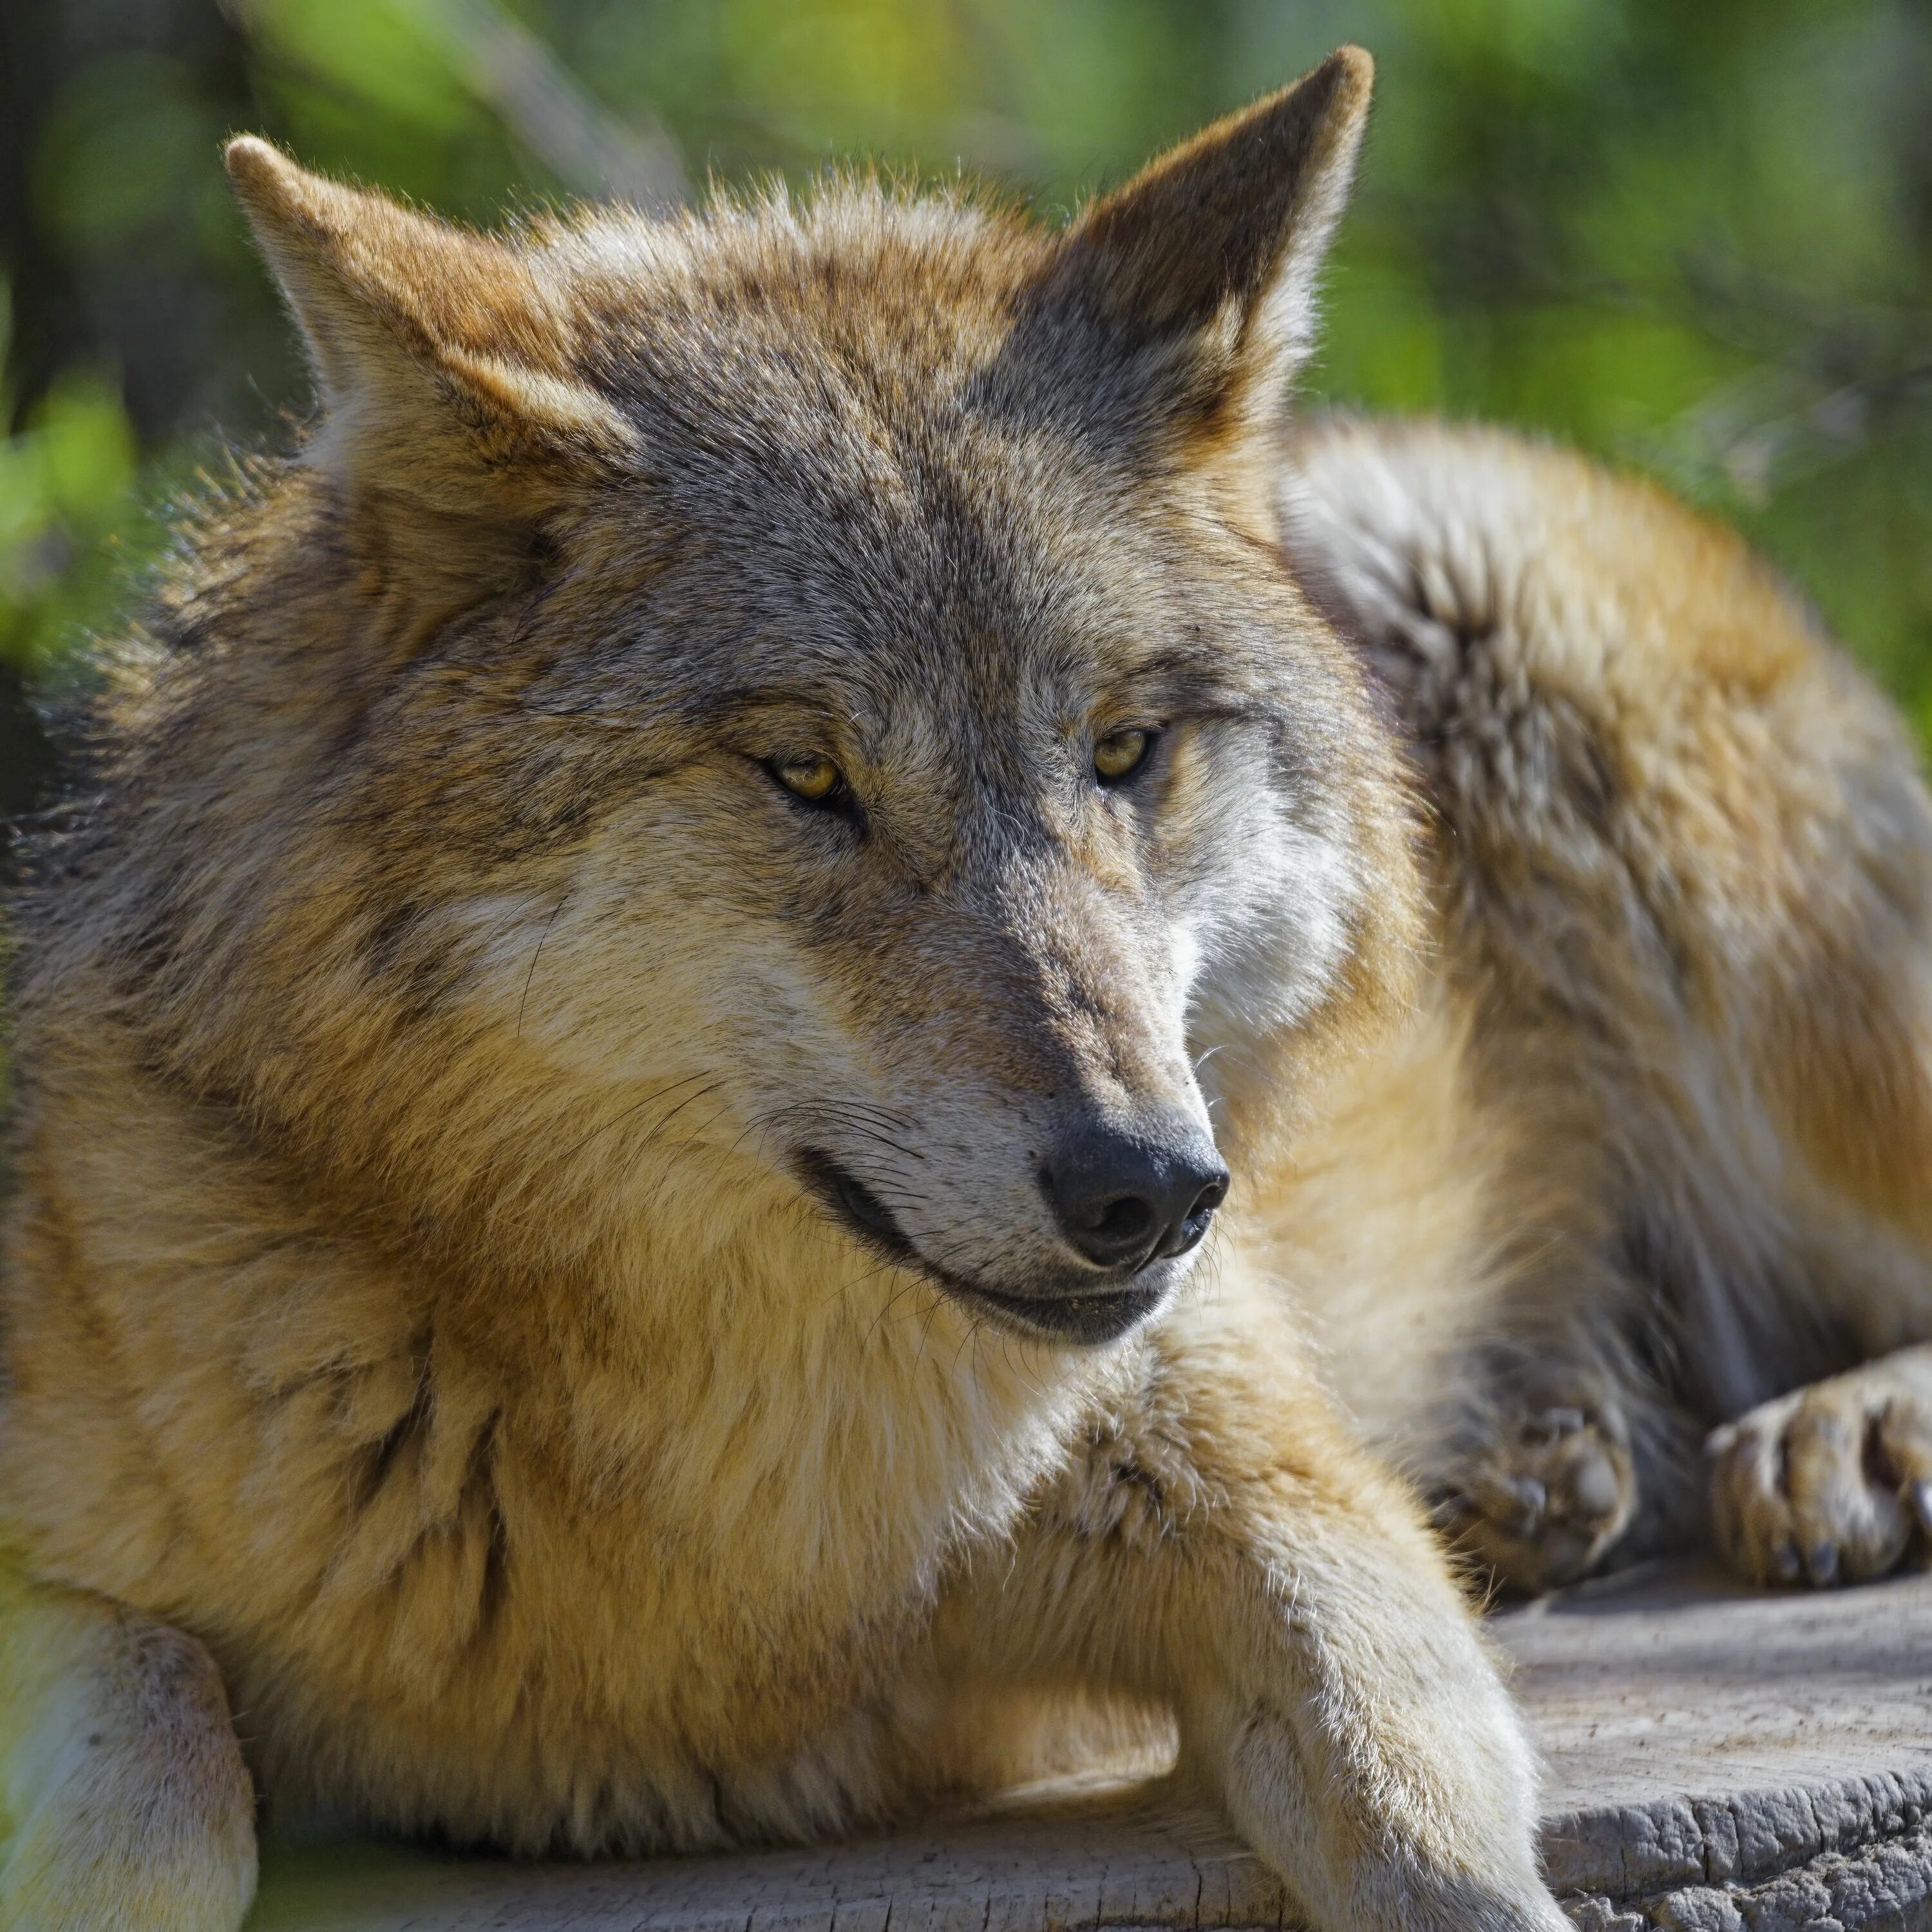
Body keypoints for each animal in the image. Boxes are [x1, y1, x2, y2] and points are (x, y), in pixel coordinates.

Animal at [0, 41, 1924, 1932]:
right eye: (806, 775)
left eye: (1123, 751)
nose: (1152, 1191)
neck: (753, 1521)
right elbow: (160, 1761)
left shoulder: (1284, 1512)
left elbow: (1426, 1835)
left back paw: (1828, 1440)